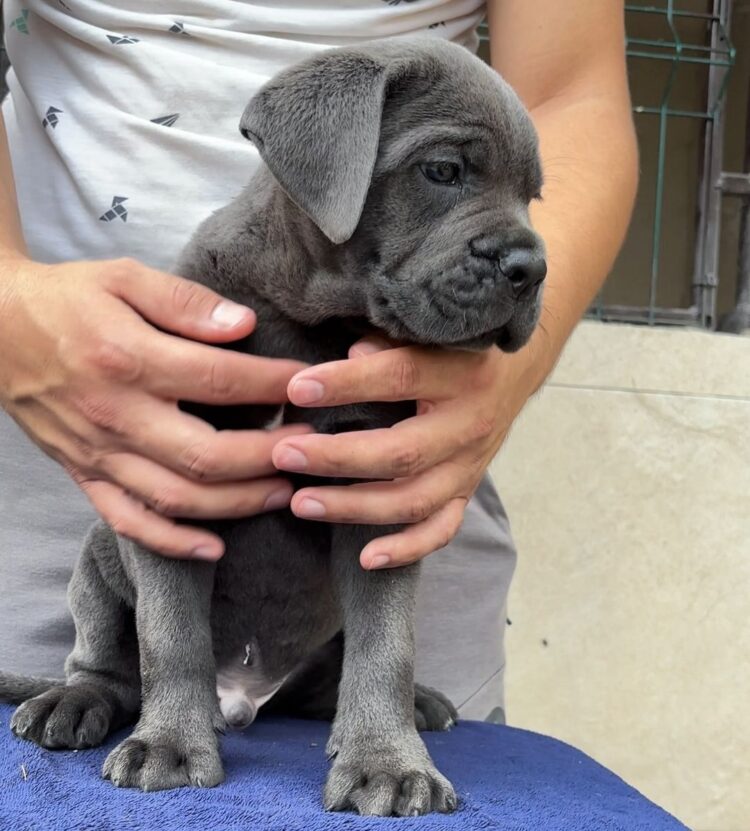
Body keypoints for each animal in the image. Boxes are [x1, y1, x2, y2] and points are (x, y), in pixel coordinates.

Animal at [0, 35, 544, 816]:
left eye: (533, 195)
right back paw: (74, 702)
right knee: (106, 661)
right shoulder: (171, 477)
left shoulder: (375, 491)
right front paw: (169, 744)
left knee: (335, 679)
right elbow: (171, 634)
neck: (309, 321)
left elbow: (386, 643)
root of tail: (246, 697)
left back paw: (413, 705)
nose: (533, 266)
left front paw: (386, 761)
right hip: (100, 557)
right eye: (443, 170)